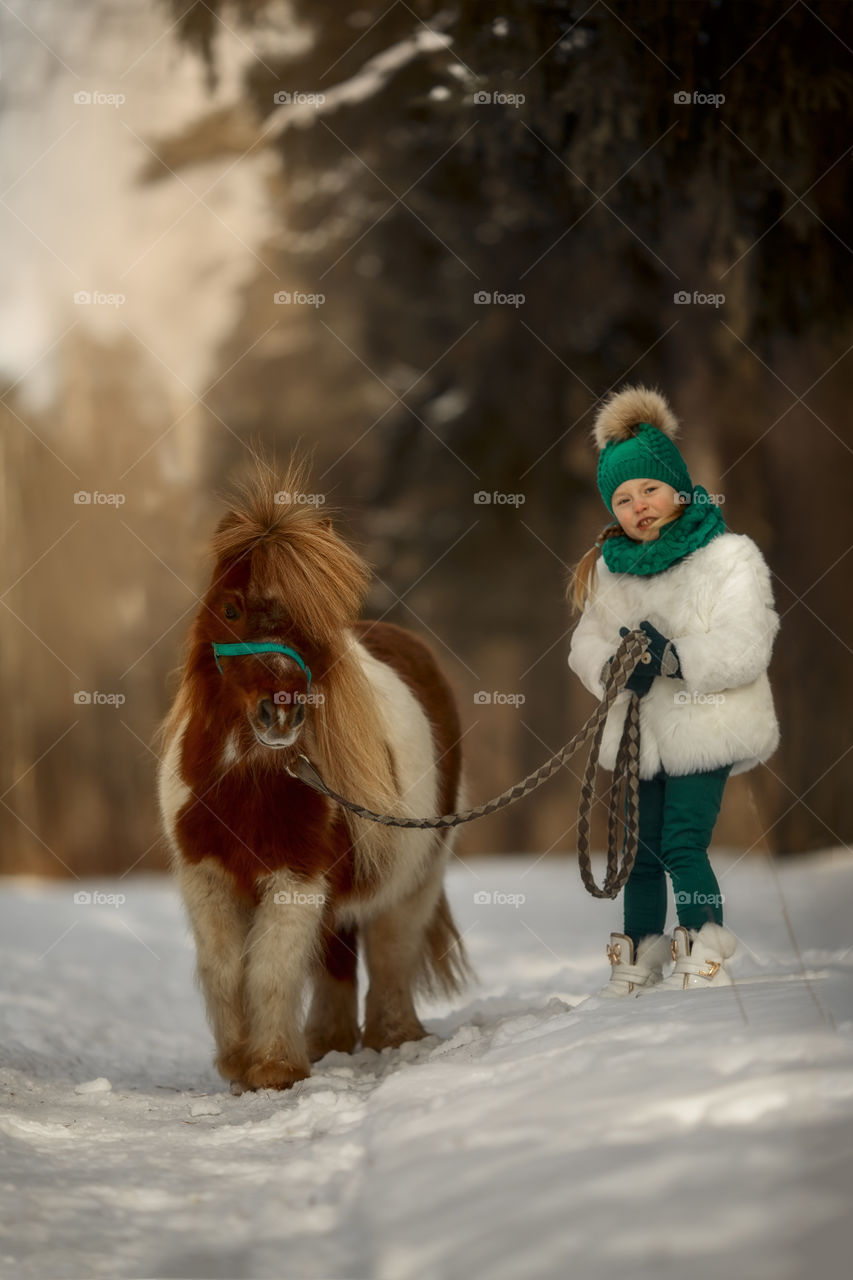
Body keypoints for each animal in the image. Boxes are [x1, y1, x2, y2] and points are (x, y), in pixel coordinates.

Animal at [156, 458, 468, 1090]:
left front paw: (274, 1068)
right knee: (337, 957)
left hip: (416, 878)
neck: (246, 783)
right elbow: (226, 968)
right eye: (230, 608)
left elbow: (270, 970)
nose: (281, 712)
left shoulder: (297, 878)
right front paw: (238, 1062)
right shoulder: (206, 878)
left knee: (391, 950)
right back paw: (328, 1043)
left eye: (315, 616)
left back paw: (392, 1038)